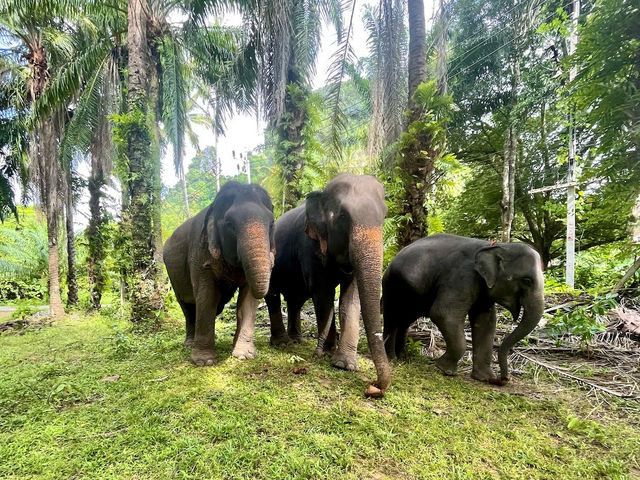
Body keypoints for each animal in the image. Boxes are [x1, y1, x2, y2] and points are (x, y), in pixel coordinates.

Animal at [164, 182, 274, 366]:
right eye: (229, 224)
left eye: (272, 223)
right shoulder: (200, 255)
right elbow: (207, 296)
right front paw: (204, 362)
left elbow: (247, 299)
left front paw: (244, 355)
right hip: (173, 276)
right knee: (187, 307)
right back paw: (190, 343)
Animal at [264, 174, 390, 396]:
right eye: (343, 217)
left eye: (384, 216)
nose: (374, 387)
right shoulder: (309, 246)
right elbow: (323, 296)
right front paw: (327, 352)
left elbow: (349, 301)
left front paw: (343, 364)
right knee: (274, 296)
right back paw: (283, 343)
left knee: (295, 299)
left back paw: (297, 340)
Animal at [382, 232, 544, 382]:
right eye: (527, 280)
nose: (504, 379)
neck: (495, 246)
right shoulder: (461, 276)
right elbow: (443, 314)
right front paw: (444, 369)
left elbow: (486, 322)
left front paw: (485, 378)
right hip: (392, 287)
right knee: (393, 318)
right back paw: (392, 358)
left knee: (404, 321)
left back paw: (403, 356)